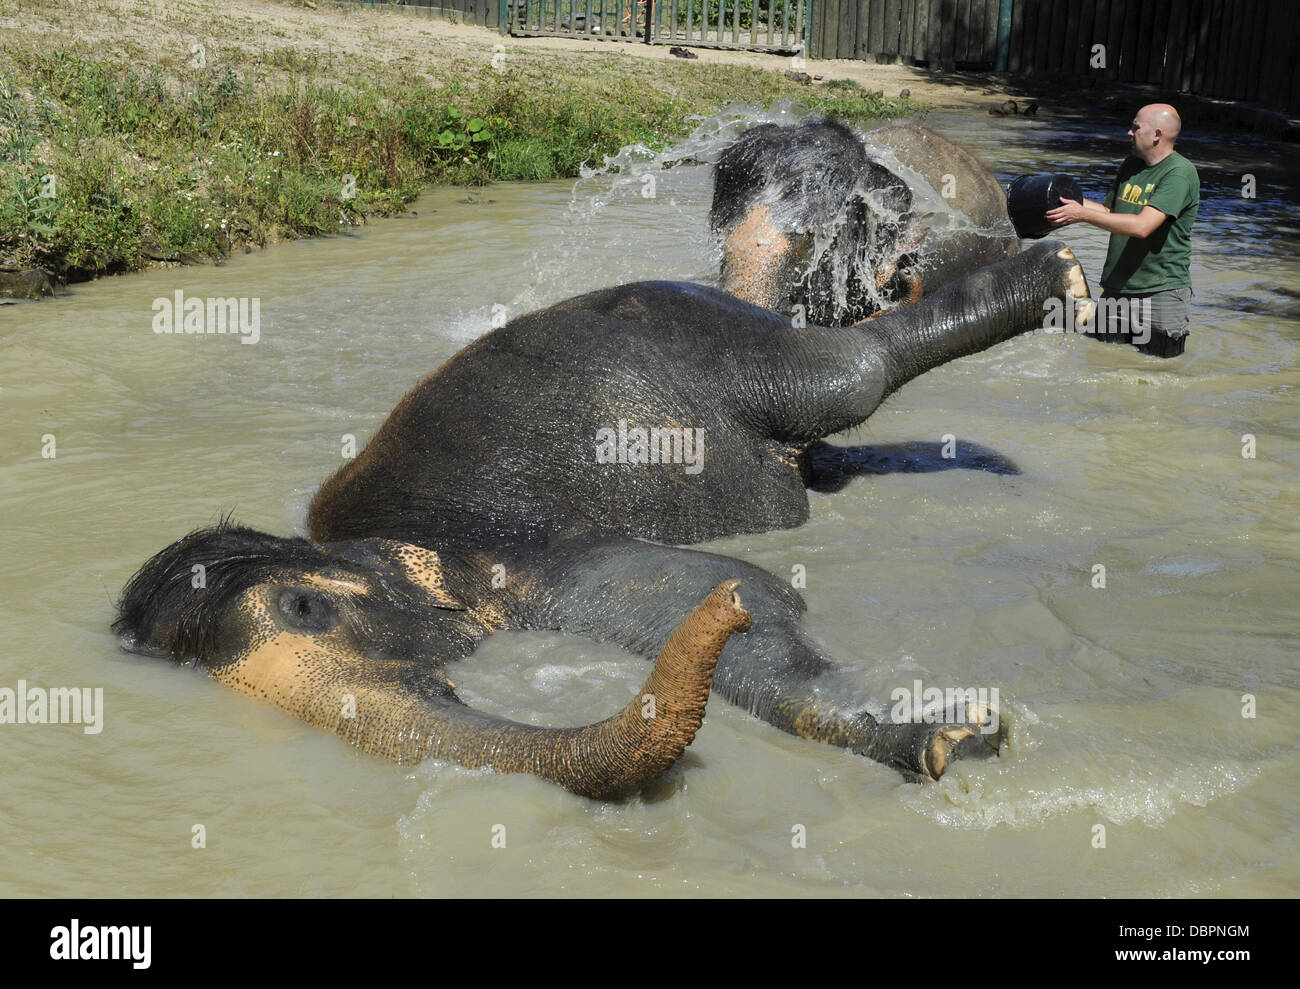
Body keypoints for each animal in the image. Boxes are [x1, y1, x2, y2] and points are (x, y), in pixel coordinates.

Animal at [114, 243, 1086, 800]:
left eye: (304, 609)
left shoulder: (535, 561)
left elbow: (755, 600)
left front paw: (952, 739)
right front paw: (951, 735)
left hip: (714, 330)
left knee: (849, 371)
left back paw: (1060, 273)